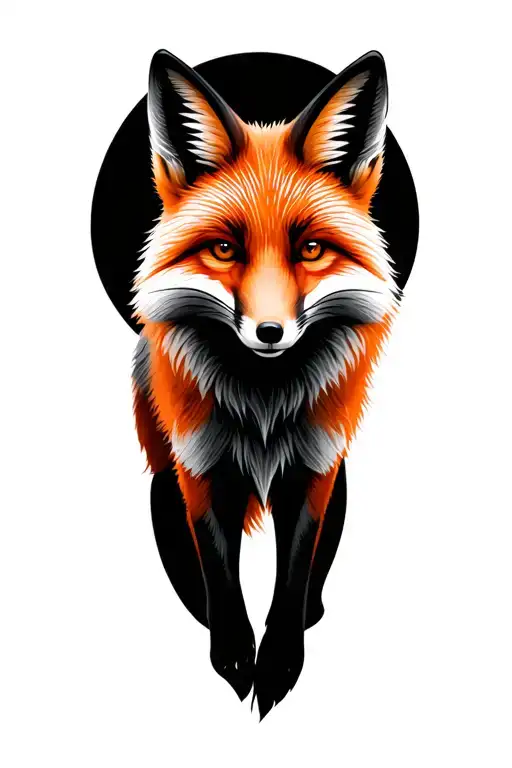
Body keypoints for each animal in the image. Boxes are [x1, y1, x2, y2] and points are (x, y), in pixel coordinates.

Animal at [131, 48, 400, 719]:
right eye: (225, 250)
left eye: (311, 249)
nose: (271, 332)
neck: (262, 406)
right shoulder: (198, 469)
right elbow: (221, 574)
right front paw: (234, 657)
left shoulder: (315, 472)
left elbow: (295, 571)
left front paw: (278, 663)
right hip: (162, 478)